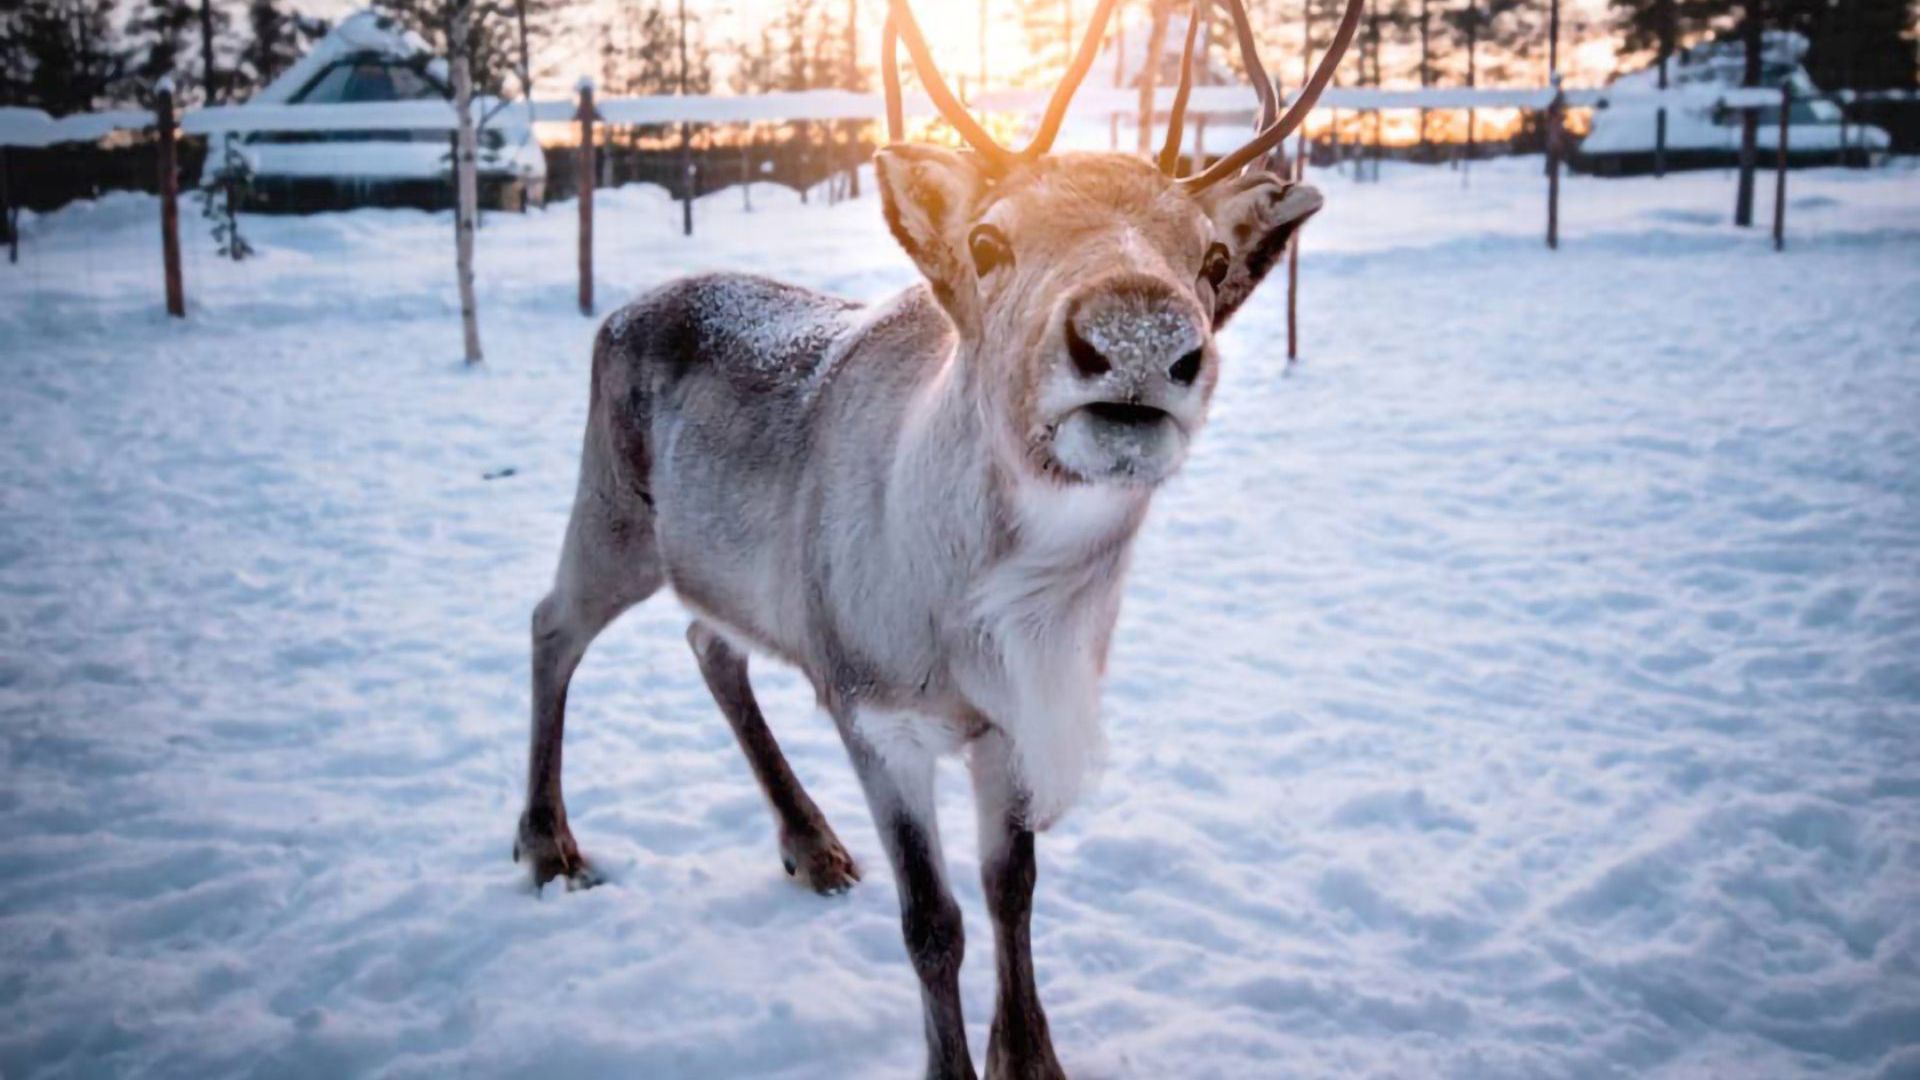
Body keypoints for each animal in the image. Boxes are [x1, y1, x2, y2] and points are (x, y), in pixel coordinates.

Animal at [514, 0, 1362, 1075]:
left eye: (1212, 259)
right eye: (990, 241)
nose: (1137, 335)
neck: (993, 618)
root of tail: (621, 309)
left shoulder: (1010, 729)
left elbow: (1013, 895)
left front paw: (1029, 1056)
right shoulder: (877, 718)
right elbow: (933, 922)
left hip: (734, 571)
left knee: (710, 642)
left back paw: (809, 843)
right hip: (613, 515)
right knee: (553, 626)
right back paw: (549, 843)